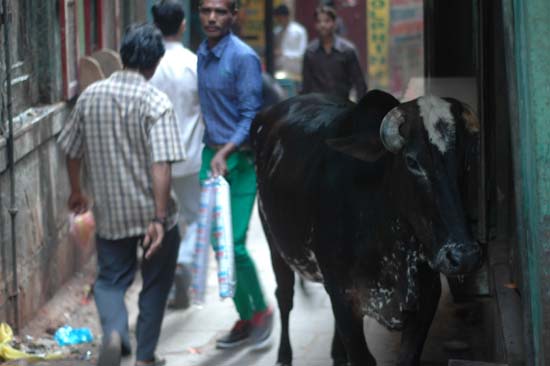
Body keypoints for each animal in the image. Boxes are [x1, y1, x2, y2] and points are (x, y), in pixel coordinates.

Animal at [252, 89, 486, 366]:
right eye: (412, 161)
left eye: (465, 160)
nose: (464, 256)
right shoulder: (345, 299)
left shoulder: (427, 301)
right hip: (275, 245)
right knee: (285, 297)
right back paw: (284, 356)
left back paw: (337, 353)